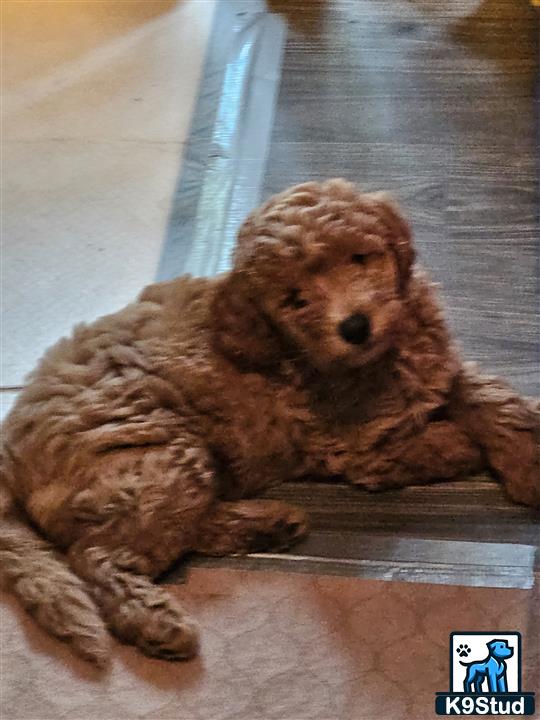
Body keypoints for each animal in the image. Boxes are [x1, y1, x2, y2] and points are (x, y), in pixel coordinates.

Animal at [0, 179, 536, 664]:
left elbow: (486, 395)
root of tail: (9, 448)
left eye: (358, 259)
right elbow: (432, 442)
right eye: (295, 298)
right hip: (157, 453)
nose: (355, 326)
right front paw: (463, 441)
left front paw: (524, 456)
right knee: (100, 556)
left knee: (170, 530)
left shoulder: (437, 364)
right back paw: (157, 622)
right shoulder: (358, 445)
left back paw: (269, 525)